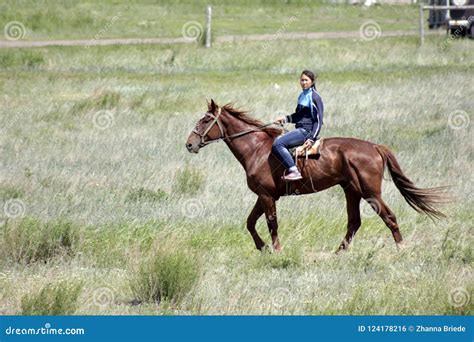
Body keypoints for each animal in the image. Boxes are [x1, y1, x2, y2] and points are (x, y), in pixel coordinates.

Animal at [184, 100, 444, 252]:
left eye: (205, 120)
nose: (189, 144)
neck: (256, 149)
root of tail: (374, 147)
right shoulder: (264, 196)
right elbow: (250, 223)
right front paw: (263, 247)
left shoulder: (267, 196)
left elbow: (271, 224)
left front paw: (276, 250)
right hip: (351, 190)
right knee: (354, 222)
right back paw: (338, 254)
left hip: (370, 192)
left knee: (388, 216)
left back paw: (401, 249)